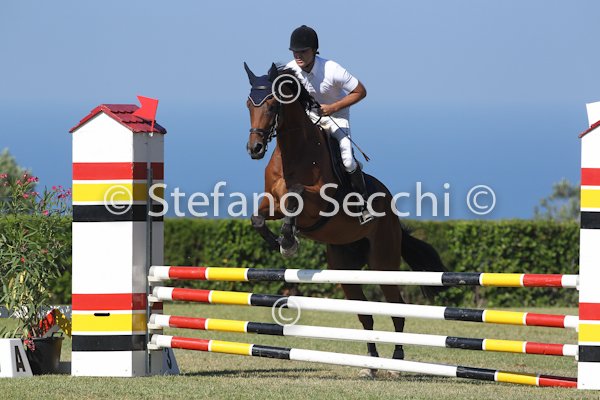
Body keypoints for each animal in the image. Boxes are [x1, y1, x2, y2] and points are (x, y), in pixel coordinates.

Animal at [244, 62, 447, 377]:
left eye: (272, 104)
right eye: (248, 104)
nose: (254, 148)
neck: (295, 151)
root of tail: (392, 215)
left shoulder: (317, 204)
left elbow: (296, 196)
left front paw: (289, 240)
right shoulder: (271, 203)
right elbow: (258, 217)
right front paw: (282, 242)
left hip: (383, 264)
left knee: (397, 309)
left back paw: (397, 361)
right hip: (345, 269)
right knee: (365, 315)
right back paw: (371, 365)